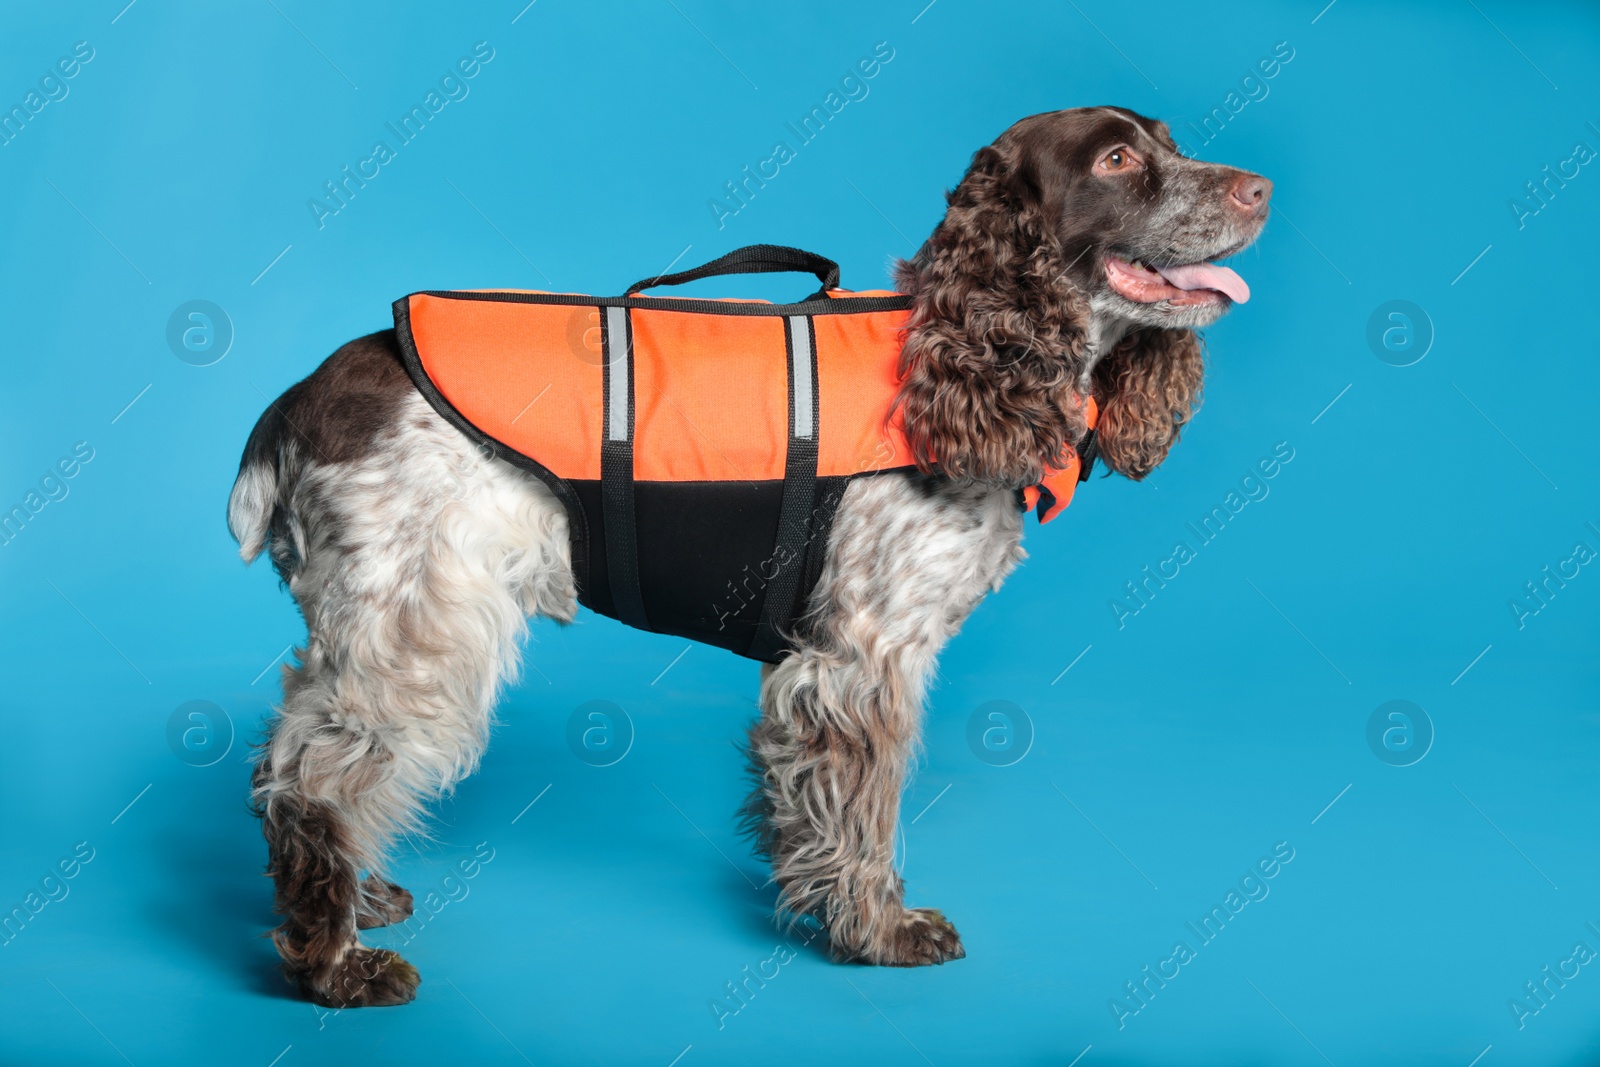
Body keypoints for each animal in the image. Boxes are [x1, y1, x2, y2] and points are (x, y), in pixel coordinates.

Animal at [228, 108, 1273, 1011]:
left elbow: (806, 802)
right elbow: (865, 811)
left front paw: (811, 893)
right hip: (422, 626)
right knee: (309, 778)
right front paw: (878, 930)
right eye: (1116, 161)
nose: (1260, 188)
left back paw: (359, 900)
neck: (962, 357)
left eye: (1171, 143)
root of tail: (302, 394)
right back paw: (333, 960)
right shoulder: (864, 655)